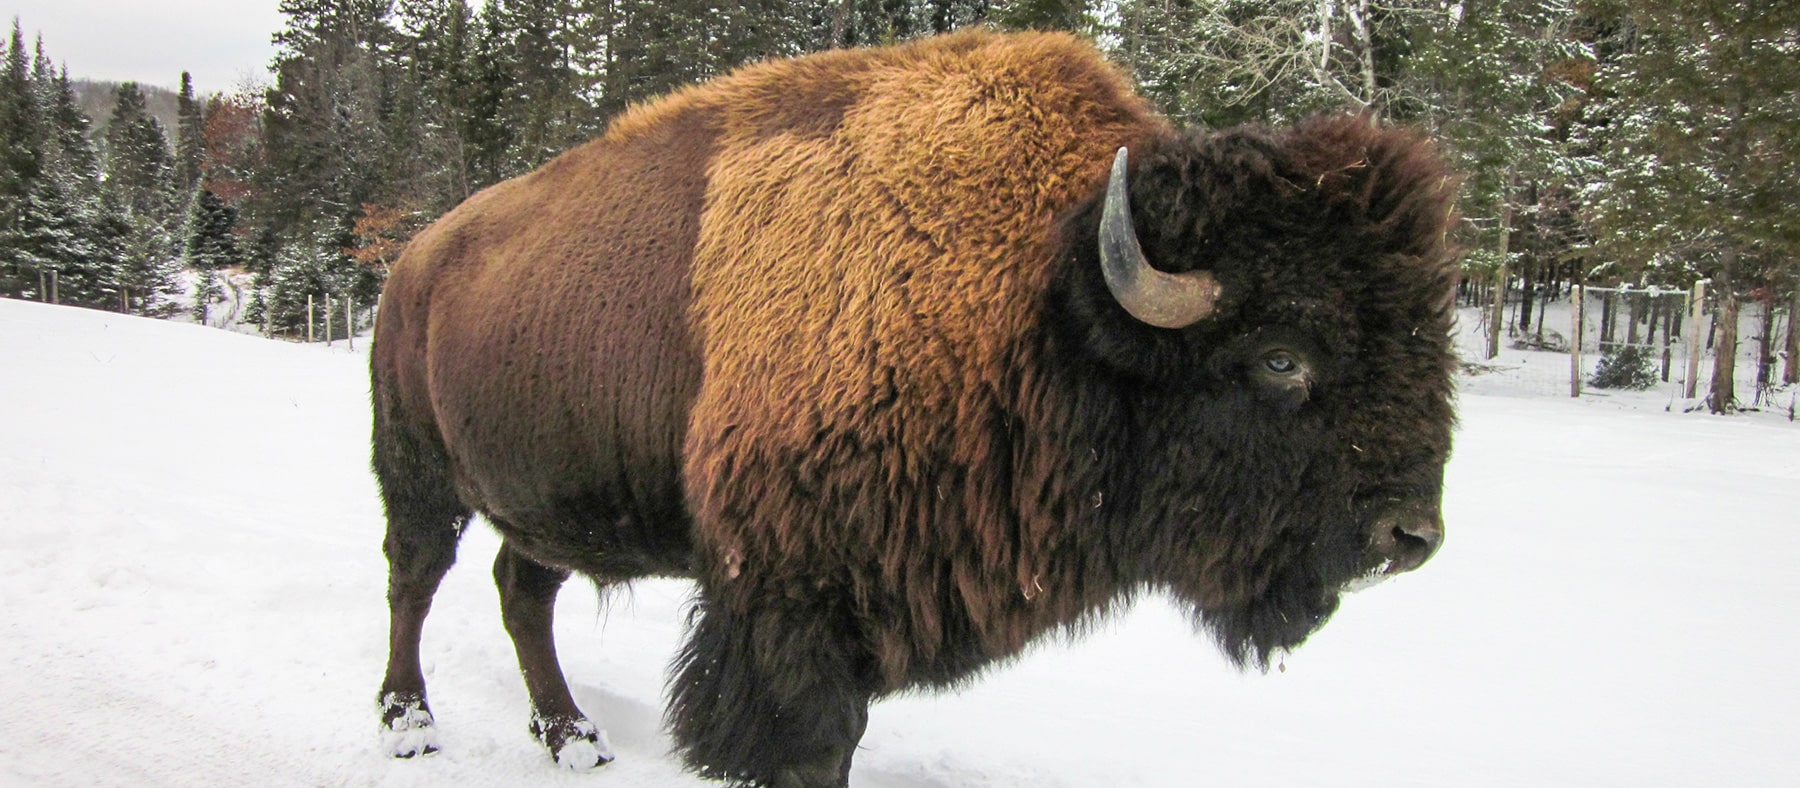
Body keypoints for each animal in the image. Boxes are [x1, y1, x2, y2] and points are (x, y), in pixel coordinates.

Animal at [370, 29, 1460, 788]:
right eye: (1281, 357)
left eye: (1430, 337)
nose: (1411, 536)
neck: (1045, 294)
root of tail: (413, 262)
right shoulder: (790, 605)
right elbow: (810, 745)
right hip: (417, 471)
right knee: (416, 580)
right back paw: (408, 723)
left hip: (538, 496)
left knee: (523, 589)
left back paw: (572, 736)